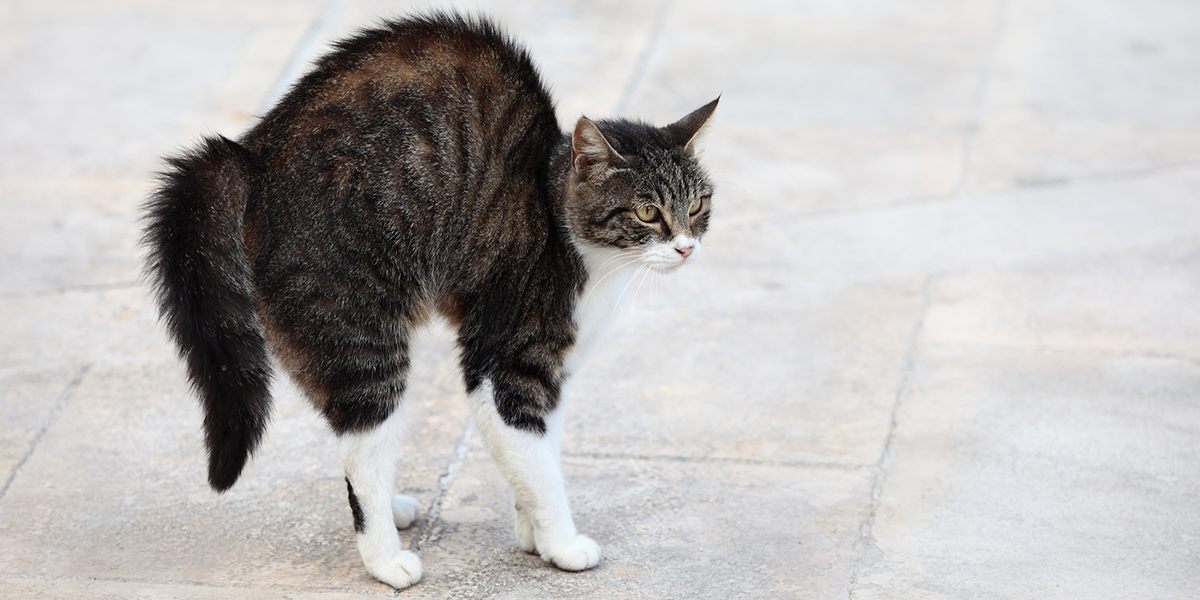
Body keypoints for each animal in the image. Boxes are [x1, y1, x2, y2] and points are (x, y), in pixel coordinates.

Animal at [145, 11, 715, 588]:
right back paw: (385, 558)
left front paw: (532, 534)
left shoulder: (556, 374)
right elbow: (537, 464)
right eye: (647, 213)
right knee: (364, 452)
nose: (686, 247)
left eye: (698, 205)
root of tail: (254, 154)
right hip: (362, 337)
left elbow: (540, 455)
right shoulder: (504, 362)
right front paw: (562, 542)